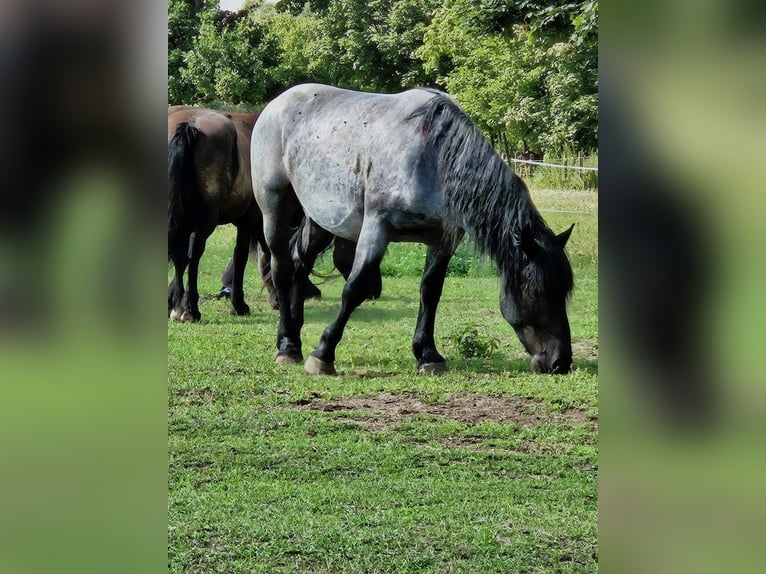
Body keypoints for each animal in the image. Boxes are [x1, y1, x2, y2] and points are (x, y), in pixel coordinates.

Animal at [252, 83, 576, 376]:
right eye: (536, 291)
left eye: (564, 290)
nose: (560, 362)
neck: (432, 155)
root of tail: (276, 104)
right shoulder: (377, 227)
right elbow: (355, 289)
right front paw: (323, 353)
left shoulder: (444, 239)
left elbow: (430, 292)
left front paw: (428, 355)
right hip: (274, 209)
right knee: (282, 269)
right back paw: (286, 347)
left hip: (321, 219)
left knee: (300, 264)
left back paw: (292, 340)